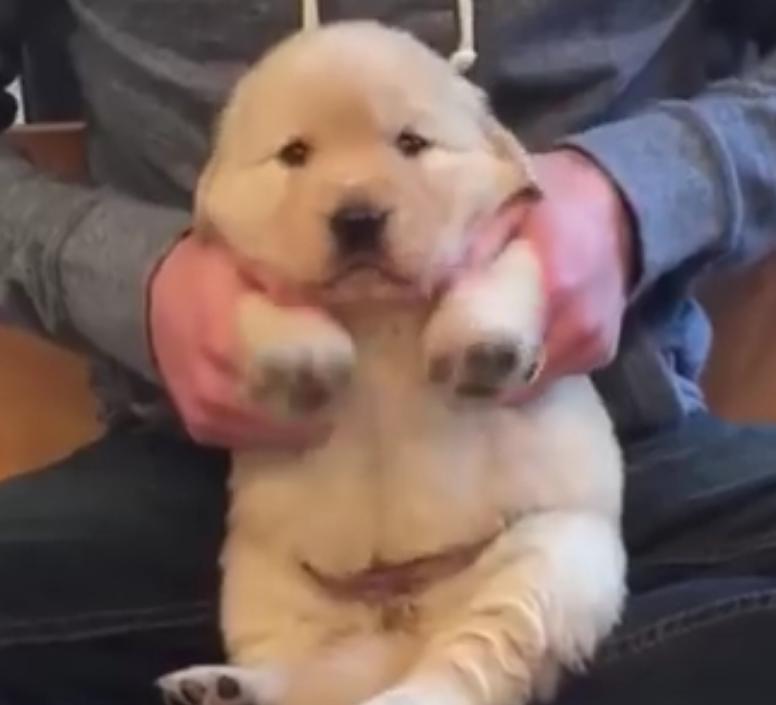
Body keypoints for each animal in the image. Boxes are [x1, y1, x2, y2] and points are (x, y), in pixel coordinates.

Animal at [158, 19, 624, 704]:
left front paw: (478, 348)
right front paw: (307, 357)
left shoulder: (513, 236)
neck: (374, 313)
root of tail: (405, 629)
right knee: (308, 671)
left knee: (468, 658)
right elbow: (268, 300)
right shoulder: (232, 271)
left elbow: (499, 272)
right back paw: (222, 685)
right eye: (295, 154)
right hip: (261, 578)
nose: (358, 218)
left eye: (411, 143)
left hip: (553, 558)